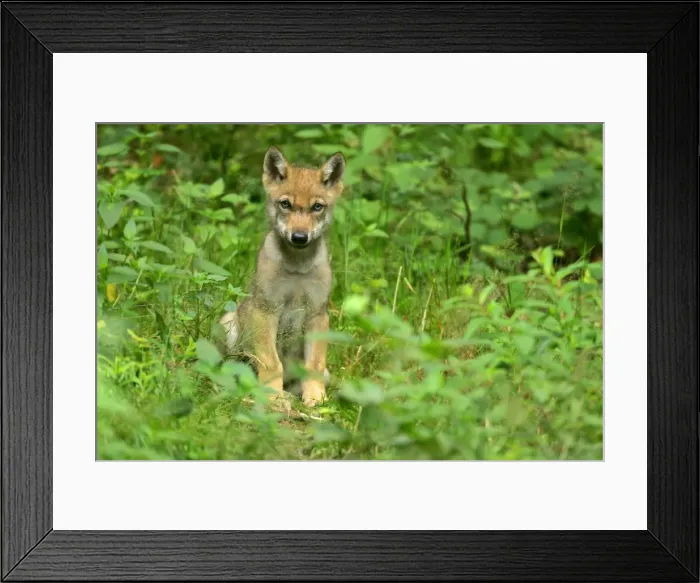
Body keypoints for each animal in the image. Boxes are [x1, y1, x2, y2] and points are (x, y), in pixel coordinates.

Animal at [218, 146, 345, 407]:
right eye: (285, 204)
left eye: (317, 207)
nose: (299, 237)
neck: (297, 268)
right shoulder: (265, 310)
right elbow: (271, 363)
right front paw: (272, 397)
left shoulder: (318, 314)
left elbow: (314, 364)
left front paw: (316, 399)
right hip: (228, 322)